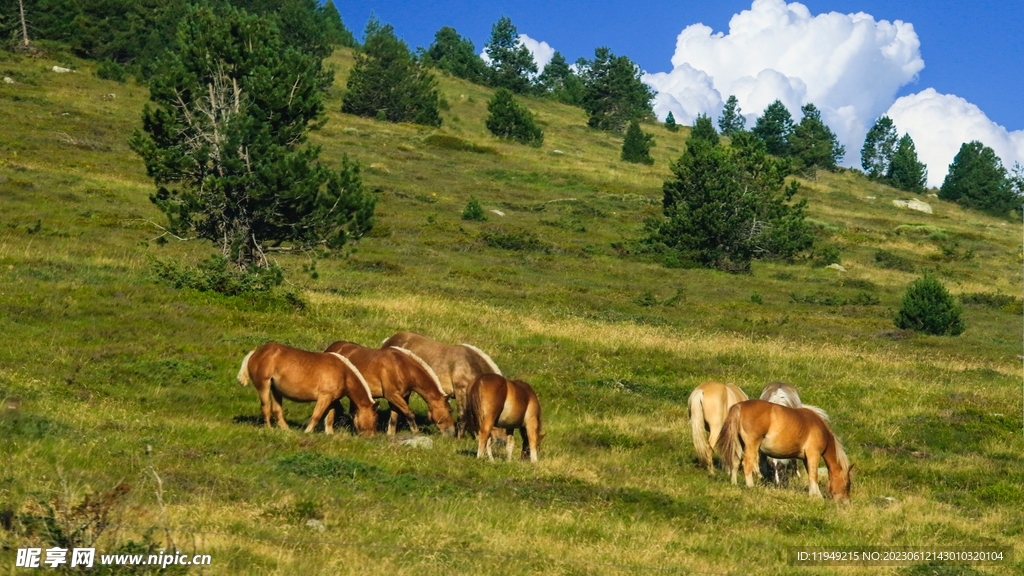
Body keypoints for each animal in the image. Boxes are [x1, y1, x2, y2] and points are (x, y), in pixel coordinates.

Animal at [237, 342, 377, 436]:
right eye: (375, 419)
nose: (371, 437)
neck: (344, 372)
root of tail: (256, 352)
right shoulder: (324, 397)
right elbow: (316, 416)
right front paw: (307, 431)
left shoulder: (331, 400)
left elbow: (329, 418)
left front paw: (330, 434)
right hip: (264, 387)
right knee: (265, 408)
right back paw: (269, 429)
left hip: (275, 391)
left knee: (276, 410)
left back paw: (286, 430)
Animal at [324, 341, 455, 436]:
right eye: (450, 410)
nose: (452, 432)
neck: (402, 367)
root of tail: (330, 349)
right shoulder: (392, 395)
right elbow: (409, 413)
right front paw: (416, 432)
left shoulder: (400, 397)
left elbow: (394, 417)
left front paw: (390, 435)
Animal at [715, 399, 851, 501]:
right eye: (848, 484)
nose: (845, 502)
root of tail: (740, 406)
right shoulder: (813, 455)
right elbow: (814, 475)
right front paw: (816, 497)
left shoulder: (806, 458)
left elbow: (811, 475)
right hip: (751, 445)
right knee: (747, 464)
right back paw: (750, 486)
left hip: (739, 445)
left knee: (735, 462)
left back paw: (734, 483)